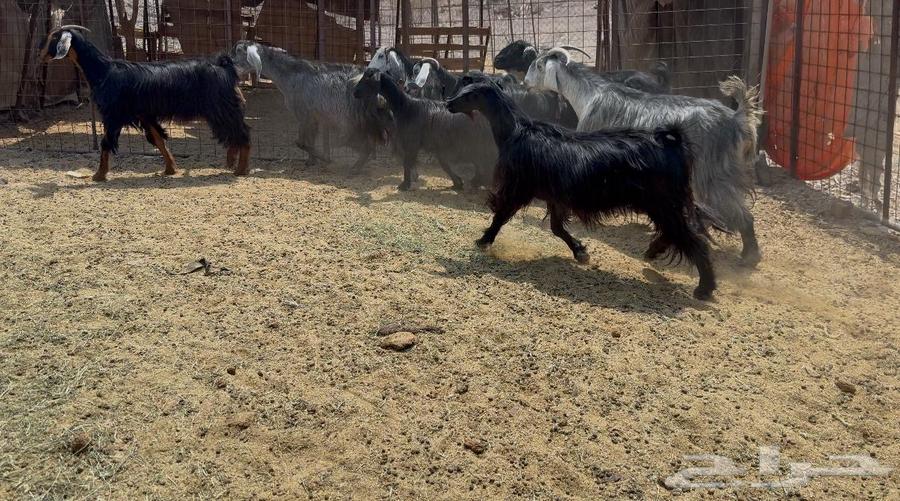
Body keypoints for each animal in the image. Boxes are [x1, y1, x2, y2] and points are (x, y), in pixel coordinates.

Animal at [40, 26, 251, 181]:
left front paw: (99, 175)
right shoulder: (144, 114)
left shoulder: (113, 115)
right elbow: (158, 139)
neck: (103, 71)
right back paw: (231, 162)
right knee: (234, 134)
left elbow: (105, 143)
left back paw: (241, 170)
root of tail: (224, 66)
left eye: (53, 38)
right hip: (222, 111)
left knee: (242, 133)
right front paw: (170, 169)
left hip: (221, 109)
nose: (41, 54)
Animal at [233, 41, 392, 169]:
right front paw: (311, 161)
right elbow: (310, 140)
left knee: (368, 144)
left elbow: (301, 142)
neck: (290, 74)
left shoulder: (304, 113)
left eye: (236, 54)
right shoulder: (313, 116)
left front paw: (324, 158)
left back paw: (355, 167)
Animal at [353, 68, 497, 191]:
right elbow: (443, 164)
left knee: (486, 165)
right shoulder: (434, 145)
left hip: (476, 145)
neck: (405, 106)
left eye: (368, 79)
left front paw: (405, 185)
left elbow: (407, 163)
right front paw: (457, 183)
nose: (355, 92)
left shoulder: (412, 142)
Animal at [447, 82, 718, 300]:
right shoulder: (555, 198)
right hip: (663, 204)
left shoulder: (519, 187)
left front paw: (483, 241)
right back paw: (654, 251)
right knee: (677, 233)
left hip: (663, 203)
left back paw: (704, 288)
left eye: (469, 94)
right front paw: (580, 252)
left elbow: (501, 215)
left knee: (692, 239)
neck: (516, 131)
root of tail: (672, 142)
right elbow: (557, 228)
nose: (448, 103)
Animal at [525, 48, 764, 266]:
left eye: (538, 65)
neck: (590, 95)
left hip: (710, 175)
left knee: (736, 214)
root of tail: (737, 119)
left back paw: (748, 256)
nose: (526, 83)